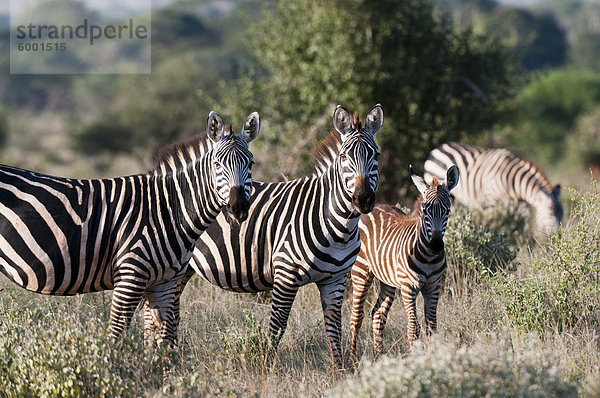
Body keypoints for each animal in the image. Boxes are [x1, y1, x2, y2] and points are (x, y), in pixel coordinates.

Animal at [0, 111, 258, 346]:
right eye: (217, 164)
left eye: (251, 163)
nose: (238, 206)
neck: (168, 209)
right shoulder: (130, 277)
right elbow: (116, 337)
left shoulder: (164, 284)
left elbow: (165, 344)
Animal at [152, 104, 382, 368]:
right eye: (344, 157)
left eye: (376, 156)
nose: (362, 199)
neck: (338, 227)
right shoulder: (286, 274)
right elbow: (277, 326)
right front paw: (267, 368)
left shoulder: (336, 279)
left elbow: (334, 328)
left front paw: (339, 370)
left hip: (180, 270)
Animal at [346, 163, 460, 362]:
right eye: (425, 210)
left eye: (447, 211)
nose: (436, 245)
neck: (429, 257)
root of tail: (371, 209)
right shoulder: (408, 287)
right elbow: (414, 329)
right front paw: (418, 360)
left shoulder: (433, 287)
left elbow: (432, 328)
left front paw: (433, 358)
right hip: (361, 272)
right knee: (356, 318)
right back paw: (352, 361)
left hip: (387, 280)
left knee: (378, 314)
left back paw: (379, 358)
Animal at [422, 142, 564, 233]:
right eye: (551, 213)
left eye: (562, 215)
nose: (558, 236)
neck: (513, 183)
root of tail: (438, 148)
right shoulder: (491, 201)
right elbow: (494, 224)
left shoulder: (522, 205)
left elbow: (523, 226)